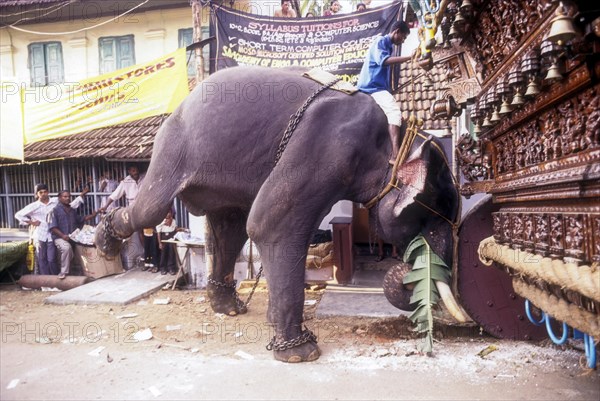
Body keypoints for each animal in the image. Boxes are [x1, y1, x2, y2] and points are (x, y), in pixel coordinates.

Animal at [94, 65, 462, 362]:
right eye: (432, 221)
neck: (395, 143)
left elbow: (261, 227)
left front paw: (275, 325)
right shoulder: (328, 147)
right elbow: (270, 226)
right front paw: (302, 354)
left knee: (230, 227)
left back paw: (229, 308)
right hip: (171, 148)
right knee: (151, 211)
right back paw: (104, 242)